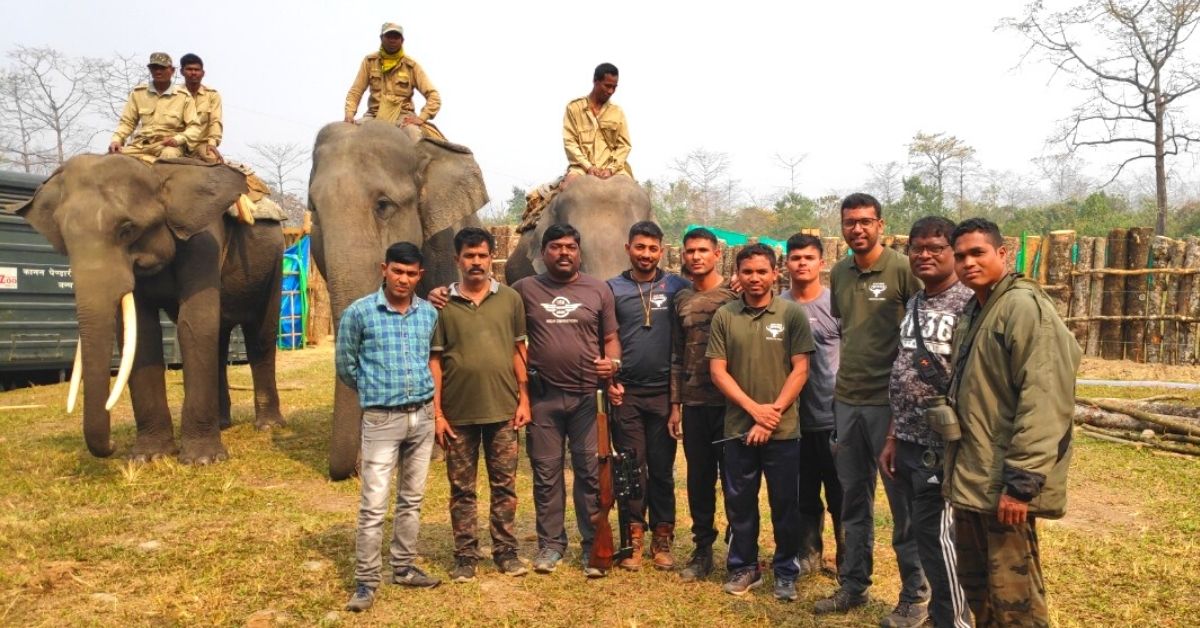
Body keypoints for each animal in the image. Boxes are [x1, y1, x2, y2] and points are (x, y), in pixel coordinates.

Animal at [17, 154, 284, 463]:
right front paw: (148, 458)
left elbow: (194, 324)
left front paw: (202, 461)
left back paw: (268, 426)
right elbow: (142, 334)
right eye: (64, 241)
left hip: (274, 263)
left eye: (127, 229)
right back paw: (222, 424)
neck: (155, 171)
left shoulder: (204, 239)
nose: (112, 446)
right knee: (218, 339)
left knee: (260, 337)